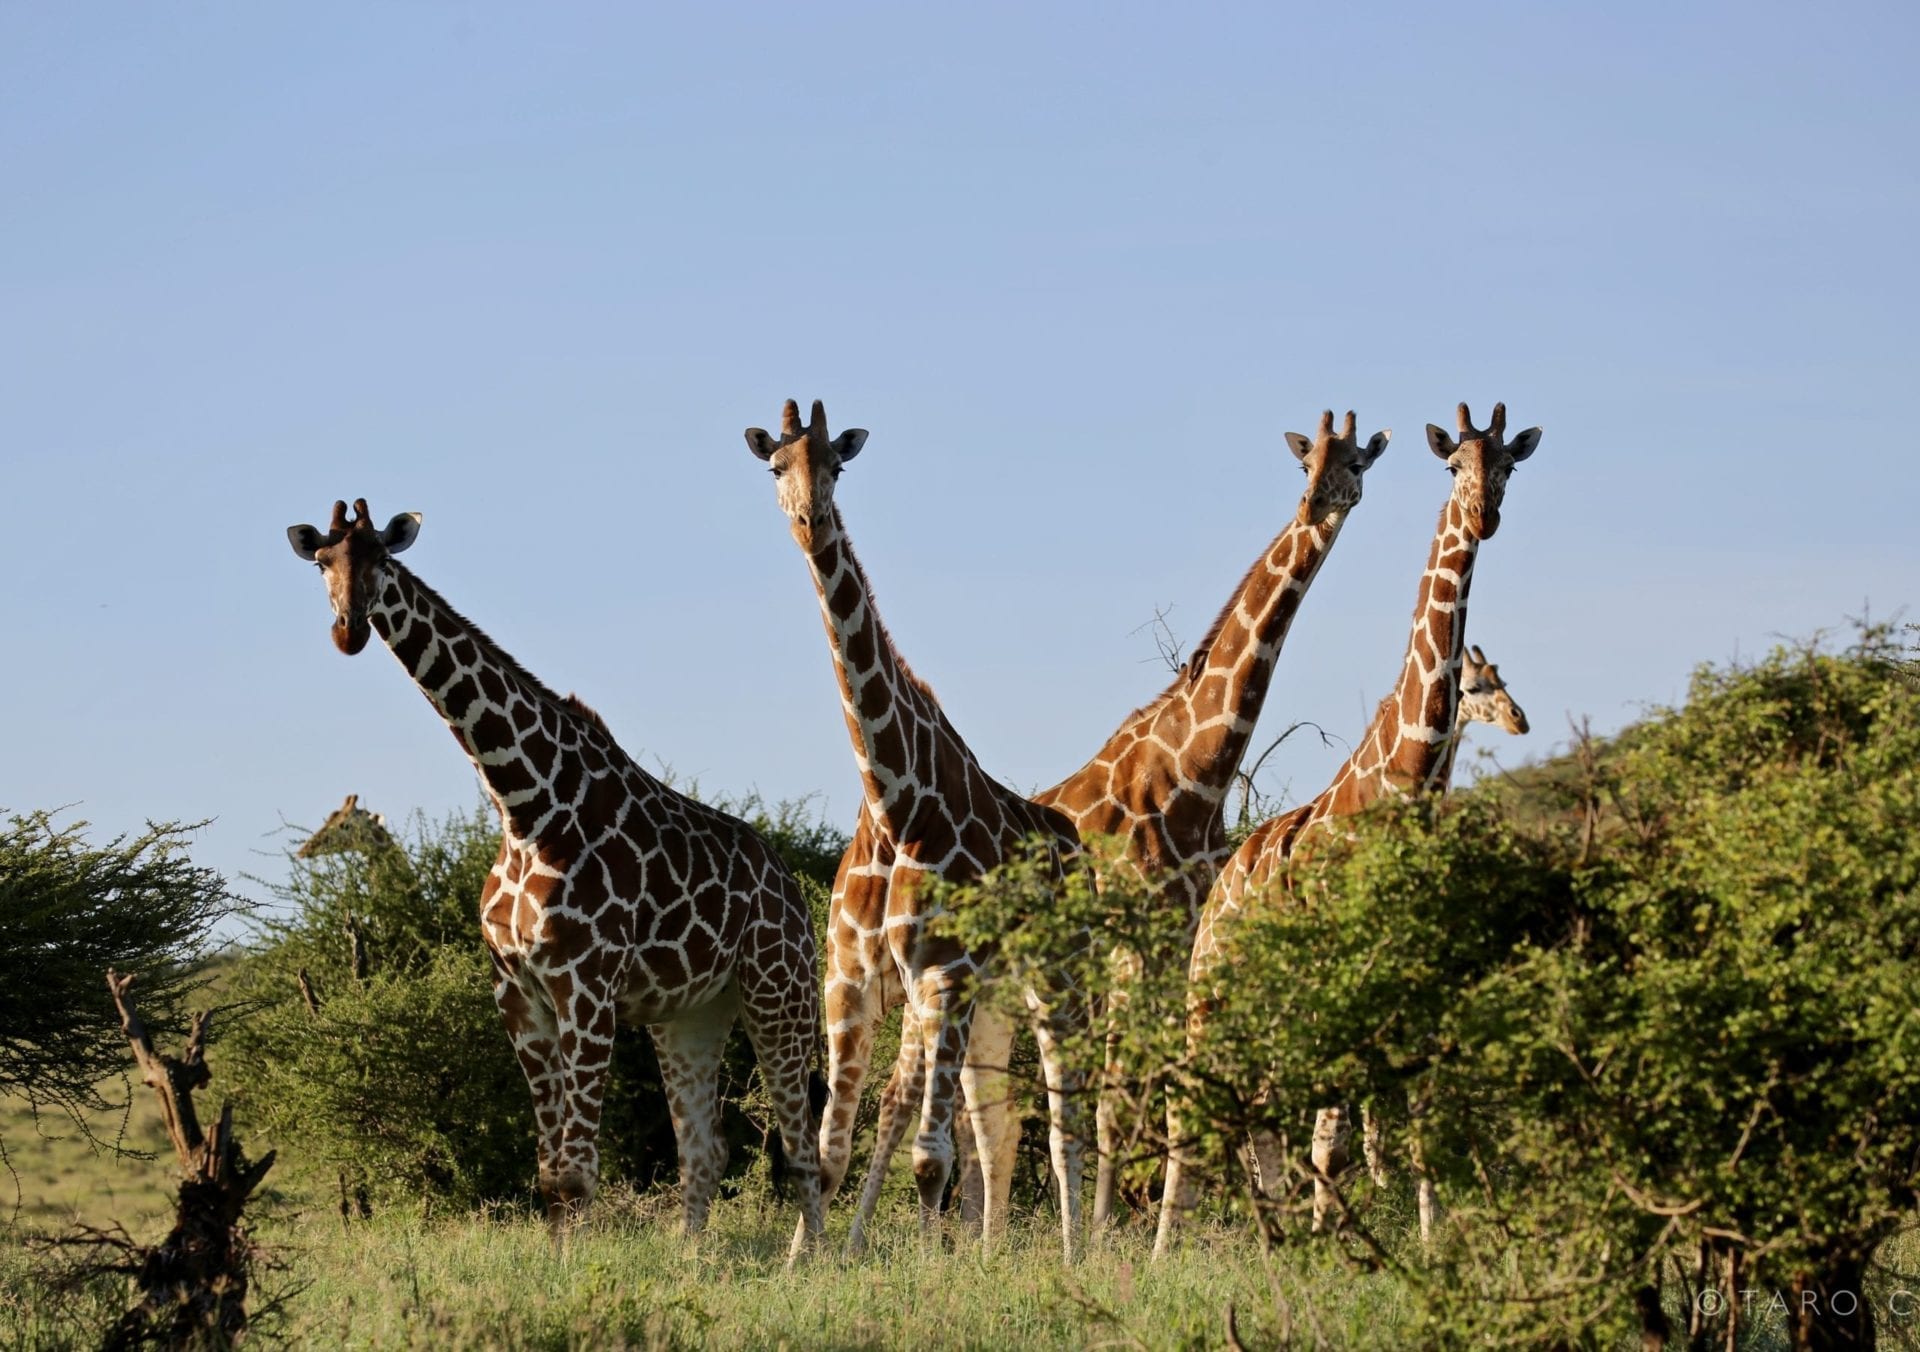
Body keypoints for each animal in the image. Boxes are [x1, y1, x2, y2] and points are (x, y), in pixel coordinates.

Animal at [285, 499, 825, 1254]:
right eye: (322, 563)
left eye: (382, 560)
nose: (349, 629)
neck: (526, 806)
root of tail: (793, 890)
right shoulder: (517, 993)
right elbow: (548, 1169)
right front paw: (561, 1259)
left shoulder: (586, 987)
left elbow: (576, 1167)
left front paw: (578, 1268)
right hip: (691, 1013)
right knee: (706, 1147)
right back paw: (691, 1258)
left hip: (778, 990)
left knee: (803, 1141)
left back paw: (811, 1260)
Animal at [746, 399, 1086, 1259]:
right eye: (777, 465)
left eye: (838, 464)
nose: (810, 522)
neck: (900, 805)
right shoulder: (853, 980)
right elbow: (829, 1151)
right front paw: (805, 1264)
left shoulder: (944, 972)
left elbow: (929, 1158)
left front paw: (933, 1268)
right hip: (992, 997)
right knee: (996, 1123)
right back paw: (998, 1249)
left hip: (1054, 975)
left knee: (1061, 1113)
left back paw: (1082, 1252)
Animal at [947, 409, 1391, 1232]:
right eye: (1305, 461)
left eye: (1355, 461)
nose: (1319, 502)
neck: (1197, 774)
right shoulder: (1131, 947)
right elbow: (1118, 1098)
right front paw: (1103, 1232)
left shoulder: (1180, 941)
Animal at [1154, 401, 1543, 1257]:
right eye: (1452, 466)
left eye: (1508, 467)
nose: (1484, 517)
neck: (1407, 778)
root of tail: (1224, 882)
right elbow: (1337, 1132)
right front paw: (1346, 1240)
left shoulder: (1416, 976)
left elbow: (1411, 1121)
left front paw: (1420, 1242)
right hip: (1211, 987)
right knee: (1193, 1094)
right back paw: (1173, 1242)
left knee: (1258, 1102)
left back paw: (1275, 1230)